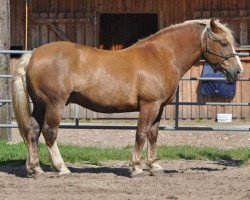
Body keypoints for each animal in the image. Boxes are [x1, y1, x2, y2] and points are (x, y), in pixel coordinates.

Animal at [11, 19, 242, 178]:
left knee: (32, 132)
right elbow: (140, 134)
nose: (238, 71)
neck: (162, 56)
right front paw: (136, 168)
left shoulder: (158, 108)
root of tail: (34, 54)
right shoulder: (149, 106)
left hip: (40, 105)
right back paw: (62, 168)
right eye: (223, 43)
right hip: (54, 105)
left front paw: (155, 166)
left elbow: (153, 135)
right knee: (49, 133)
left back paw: (36, 169)